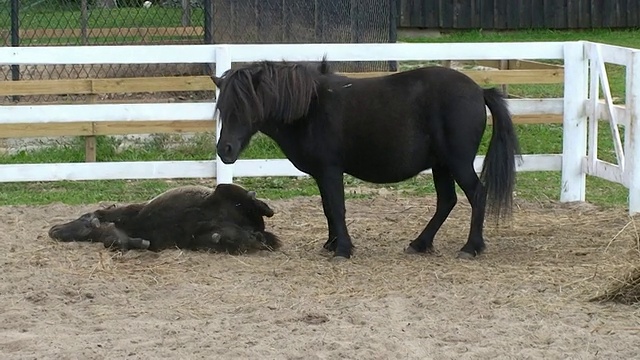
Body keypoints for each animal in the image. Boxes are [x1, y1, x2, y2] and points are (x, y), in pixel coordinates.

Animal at [46, 184, 282, 255]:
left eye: (80, 220)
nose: (53, 230)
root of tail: (255, 228)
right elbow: (114, 240)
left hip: (225, 190)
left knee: (259, 206)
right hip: (204, 241)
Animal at [211, 57, 520, 260]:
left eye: (245, 106)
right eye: (222, 108)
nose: (225, 150)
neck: (310, 108)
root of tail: (479, 90)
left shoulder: (331, 170)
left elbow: (337, 208)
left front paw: (342, 250)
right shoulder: (321, 174)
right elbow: (327, 208)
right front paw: (331, 244)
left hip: (457, 162)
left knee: (477, 195)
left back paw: (471, 247)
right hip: (441, 165)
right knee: (447, 201)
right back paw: (420, 244)